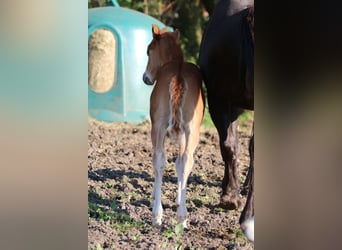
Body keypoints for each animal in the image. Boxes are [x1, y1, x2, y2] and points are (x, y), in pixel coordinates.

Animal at [143, 24, 204, 228]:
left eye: (148, 50)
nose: (146, 77)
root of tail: (178, 75)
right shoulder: (184, 132)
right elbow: (179, 163)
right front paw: (178, 199)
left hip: (158, 126)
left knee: (159, 159)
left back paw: (157, 215)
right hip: (191, 130)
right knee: (185, 160)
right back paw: (181, 217)